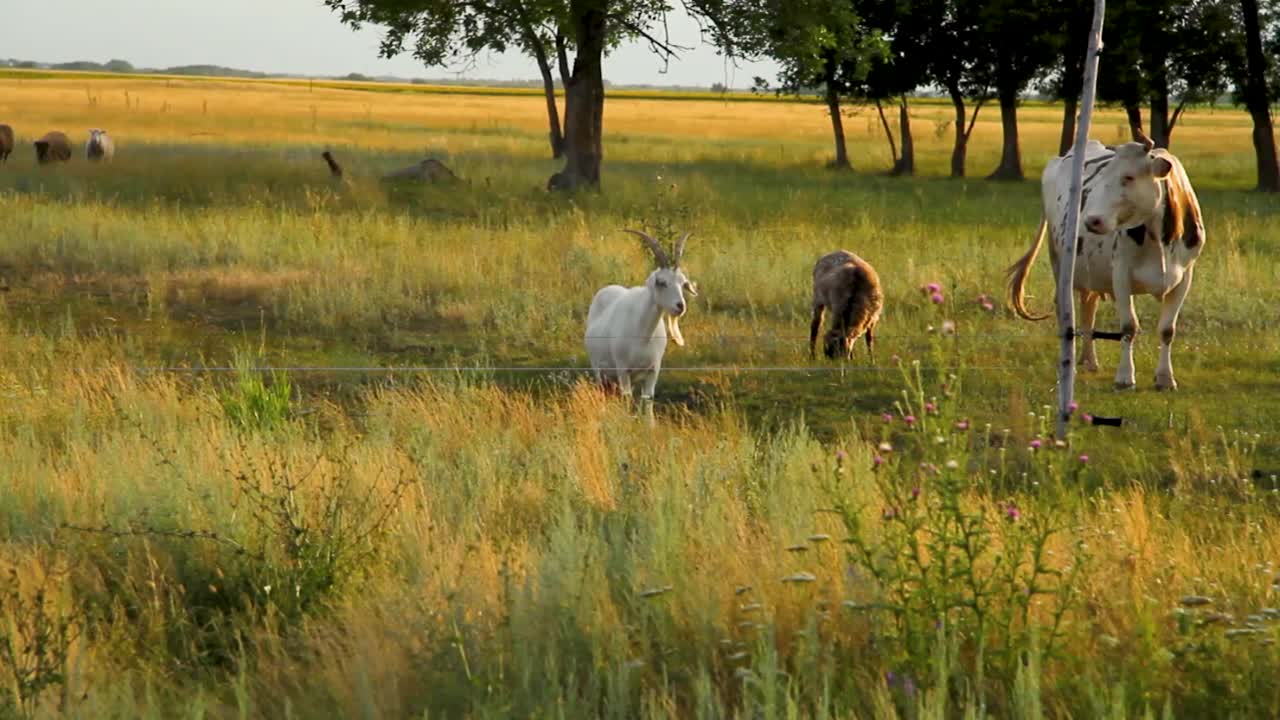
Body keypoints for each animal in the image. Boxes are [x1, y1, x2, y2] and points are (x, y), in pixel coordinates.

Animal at [586, 228, 696, 420]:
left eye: (683, 283)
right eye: (661, 282)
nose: (680, 306)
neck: (643, 334)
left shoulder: (653, 370)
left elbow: (648, 400)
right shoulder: (623, 369)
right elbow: (627, 398)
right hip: (599, 368)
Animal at [1008, 136, 1198, 389]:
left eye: (1129, 177)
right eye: (1104, 174)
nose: (1092, 220)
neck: (1159, 238)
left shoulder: (1185, 276)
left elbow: (1168, 329)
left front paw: (1165, 379)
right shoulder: (1121, 274)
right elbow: (1129, 326)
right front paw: (1125, 377)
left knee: (1088, 307)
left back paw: (1089, 360)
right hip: (1059, 261)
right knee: (1065, 310)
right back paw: (1068, 362)